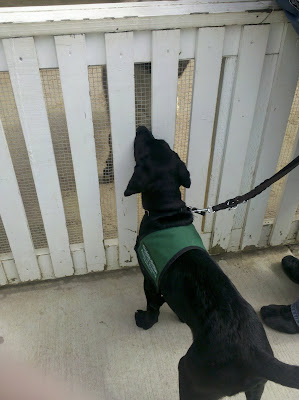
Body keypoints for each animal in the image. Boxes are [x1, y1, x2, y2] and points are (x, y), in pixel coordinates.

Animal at [125, 127, 299, 400]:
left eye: (143, 147)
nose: (142, 128)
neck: (166, 212)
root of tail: (255, 355)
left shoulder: (150, 280)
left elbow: (153, 305)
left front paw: (146, 320)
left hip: (189, 372)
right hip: (256, 388)